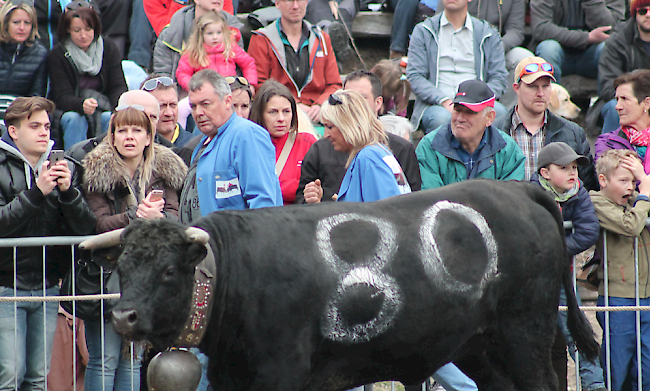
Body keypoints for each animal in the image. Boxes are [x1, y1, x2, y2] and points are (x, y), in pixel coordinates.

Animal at [82, 181, 596, 391]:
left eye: (169, 271)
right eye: (122, 266)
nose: (123, 315)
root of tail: (517, 188)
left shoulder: (281, 374)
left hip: (524, 331)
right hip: (478, 346)